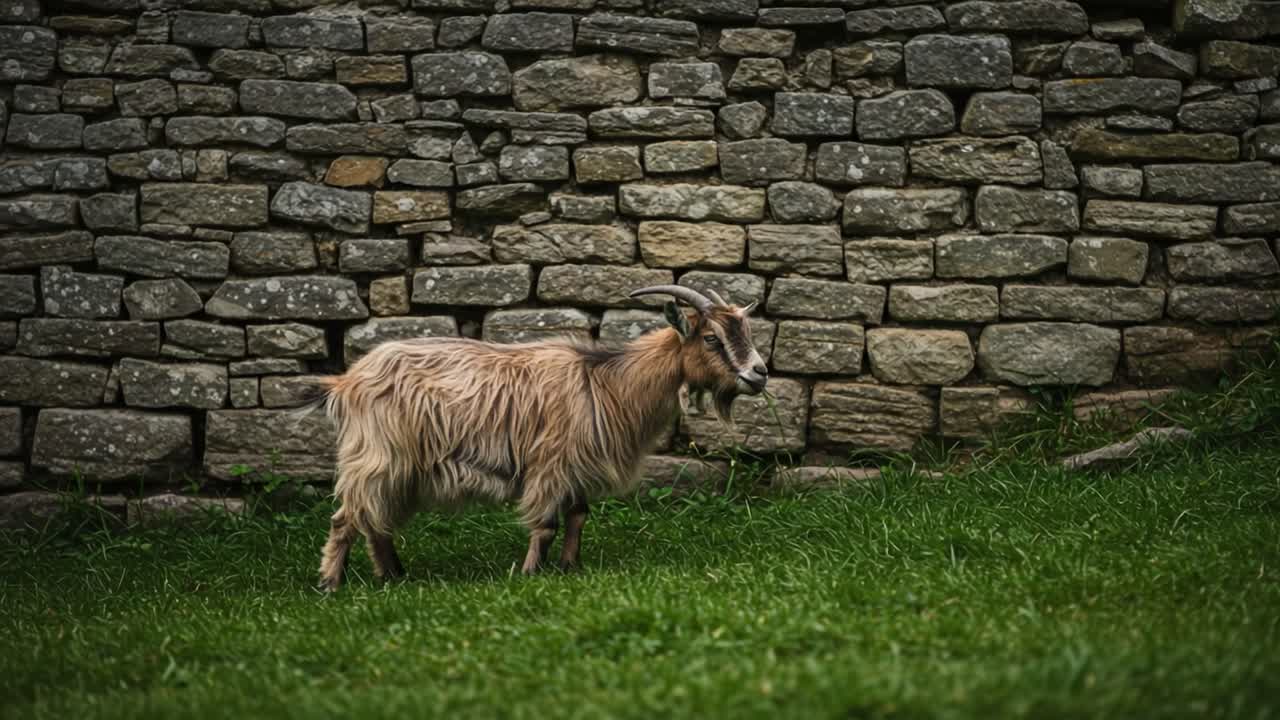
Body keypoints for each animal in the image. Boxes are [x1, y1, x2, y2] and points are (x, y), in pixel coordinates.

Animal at [312, 285, 770, 591]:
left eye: (745, 333)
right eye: (711, 338)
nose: (760, 373)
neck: (607, 382)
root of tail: (347, 382)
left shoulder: (577, 466)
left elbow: (579, 515)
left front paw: (570, 567)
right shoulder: (550, 464)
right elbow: (546, 523)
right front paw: (531, 572)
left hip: (401, 467)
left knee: (376, 520)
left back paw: (392, 575)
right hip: (379, 456)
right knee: (347, 518)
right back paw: (332, 583)